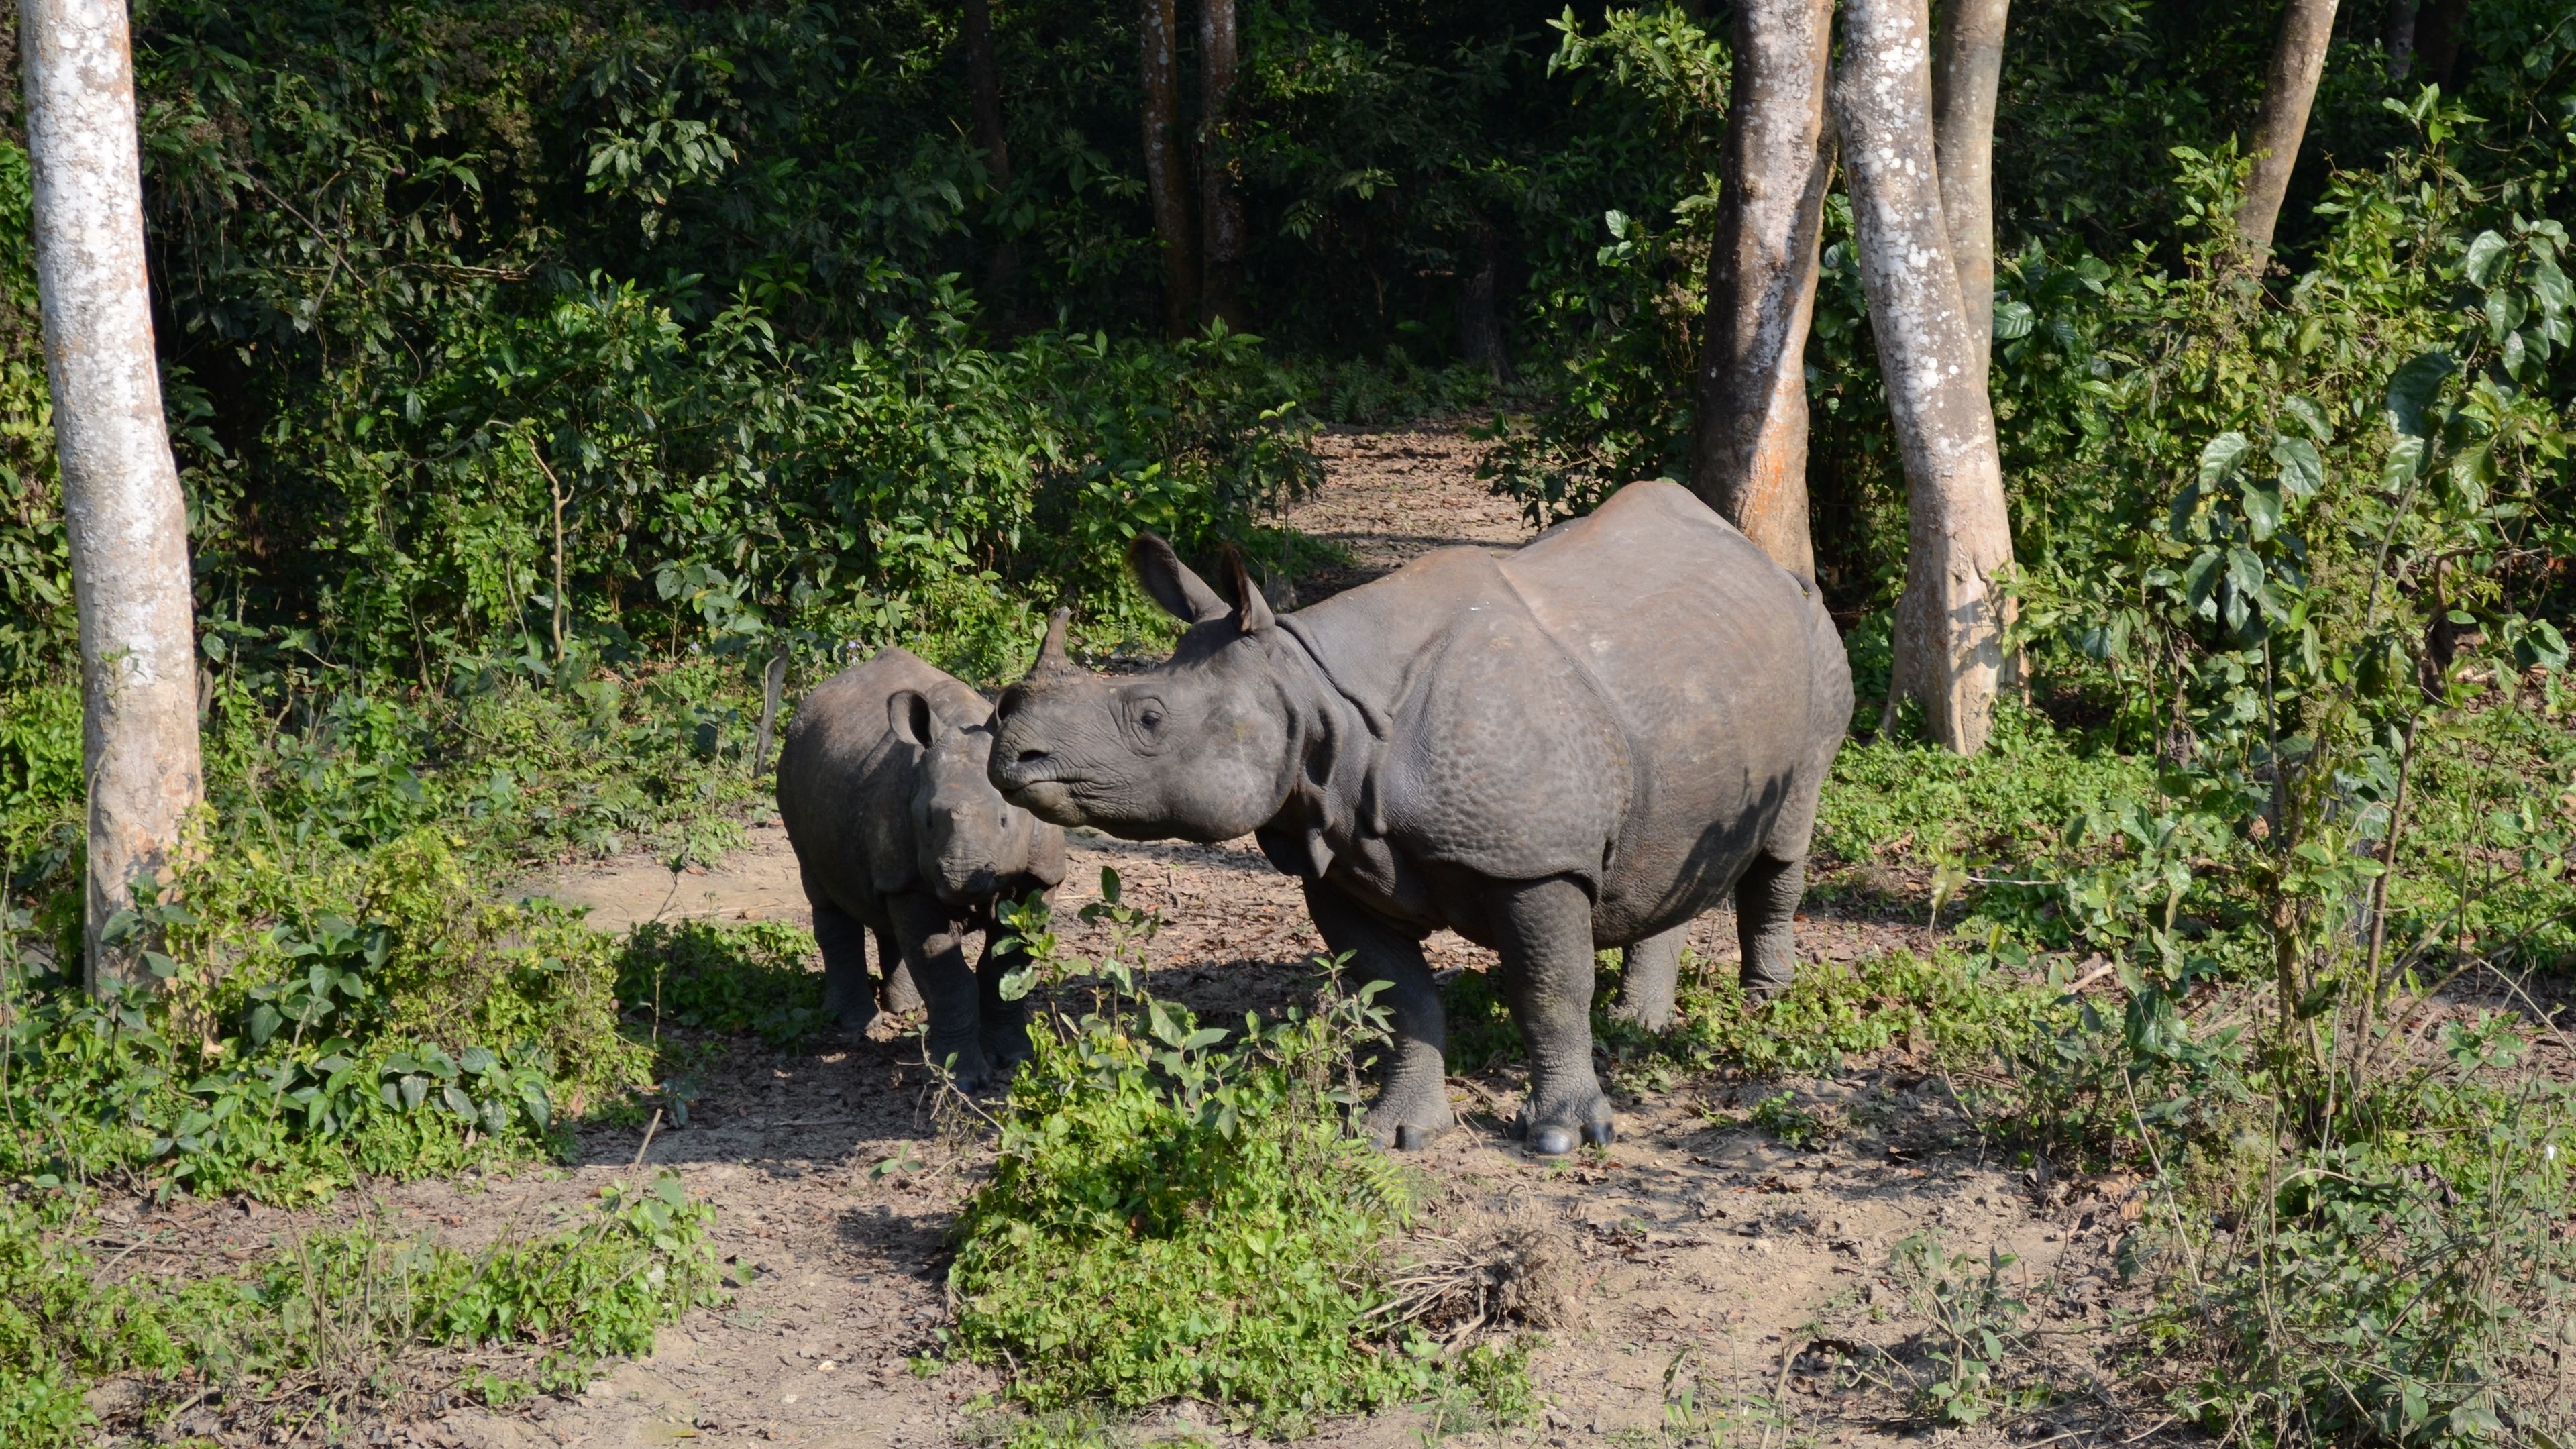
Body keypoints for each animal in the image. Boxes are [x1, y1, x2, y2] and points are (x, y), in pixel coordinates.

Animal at [777, 648, 1067, 1089]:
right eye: (928, 821)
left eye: (1005, 821)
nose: (962, 878)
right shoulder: (912, 878)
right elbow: (950, 981)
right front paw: (963, 1079)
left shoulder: (1041, 874)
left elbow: (1005, 971)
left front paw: (1015, 1059)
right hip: (792, 775)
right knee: (824, 891)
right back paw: (856, 1024)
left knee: (884, 908)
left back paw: (905, 1009)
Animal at [987, 481, 1850, 1154]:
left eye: (1150, 718)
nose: (1011, 757)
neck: (1315, 696)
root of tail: (1760, 557)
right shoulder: (1338, 860)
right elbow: (1399, 996)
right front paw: (1397, 1132)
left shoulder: (1534, 861)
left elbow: (1548, 989)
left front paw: (1562, 1137)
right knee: (1666, 841)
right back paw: (1641, 1026)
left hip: (1815, 637)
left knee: (1784, 837)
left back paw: (1764, 1004)